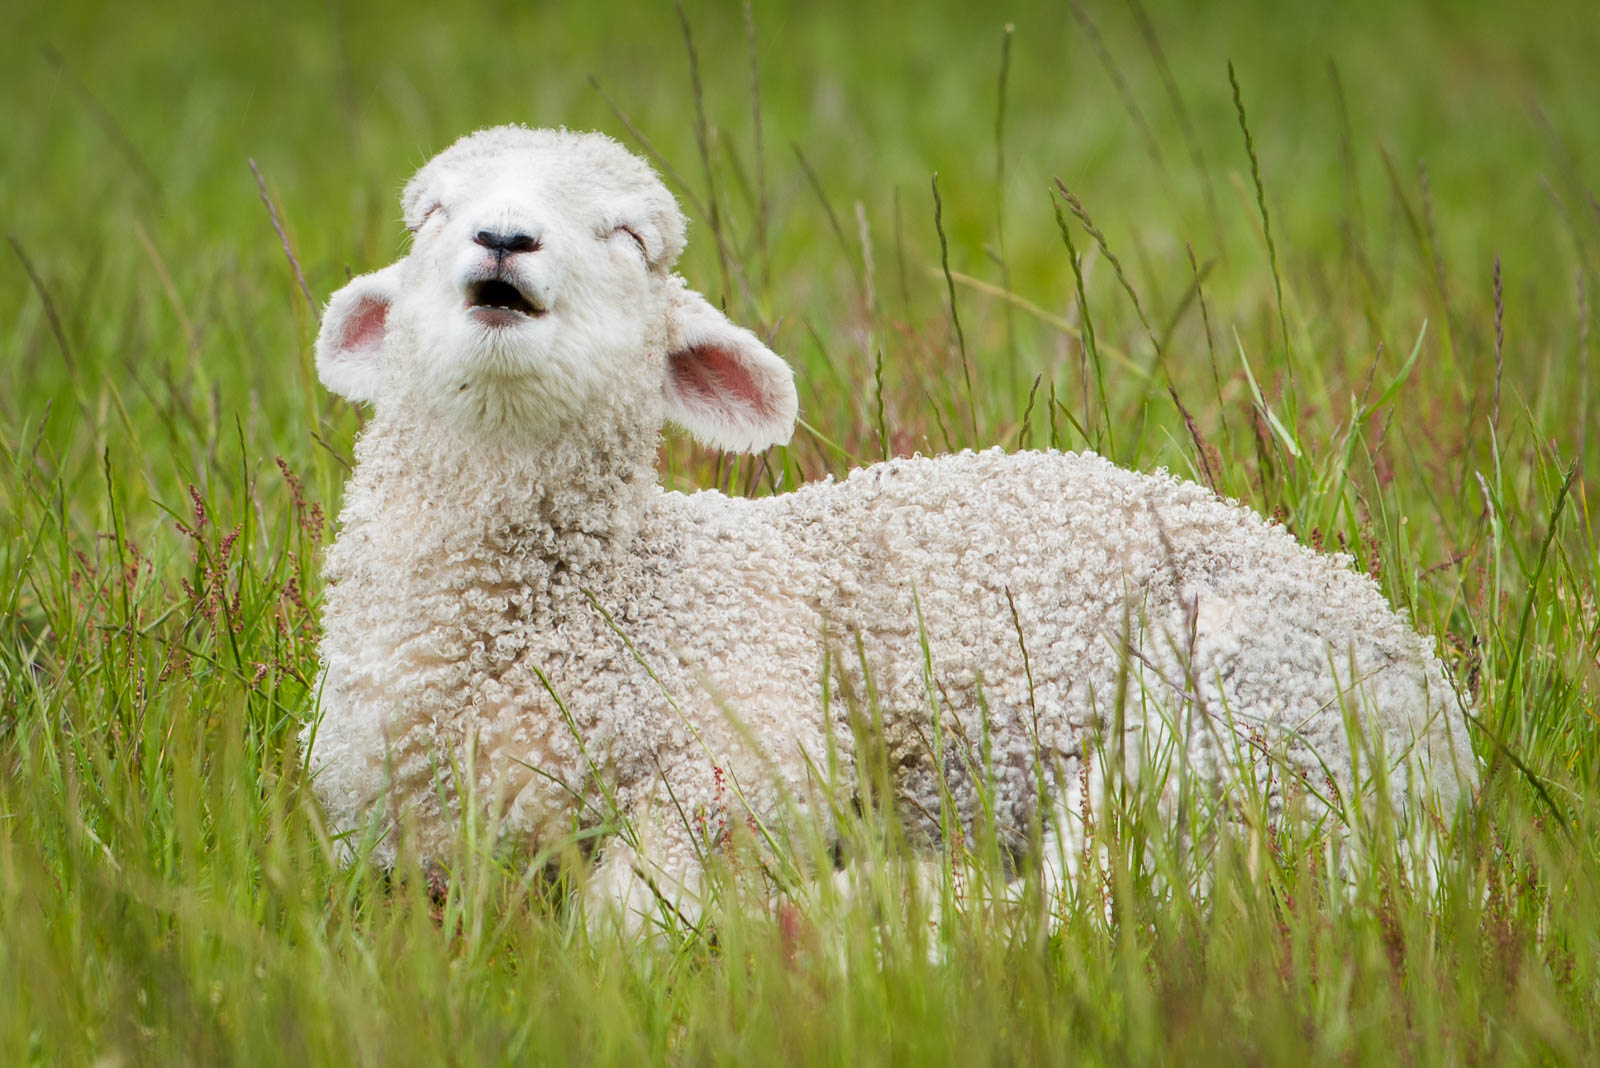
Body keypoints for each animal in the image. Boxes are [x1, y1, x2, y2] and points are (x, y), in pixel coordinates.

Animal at [305, 123, 1478, 927]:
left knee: (1089, 912)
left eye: (630, 237)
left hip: (1228, 727)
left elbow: (627, 918)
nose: (503, 241)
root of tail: (1442, 728)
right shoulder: (381, 821)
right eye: (430, 215)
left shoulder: (755, 755)